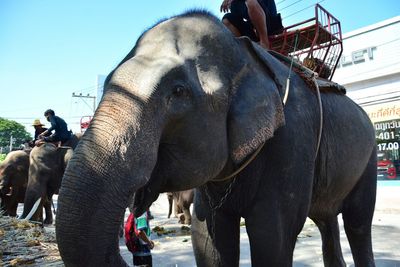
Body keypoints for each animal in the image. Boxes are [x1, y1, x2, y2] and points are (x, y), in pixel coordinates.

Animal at [54, 11, 376, 267]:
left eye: (178, 92)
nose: (142, 246)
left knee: (358, 224)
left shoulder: (293, 142)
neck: (245, 56)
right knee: (326, 220)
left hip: (369, 156)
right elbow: (208, 237)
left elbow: (273, 235)